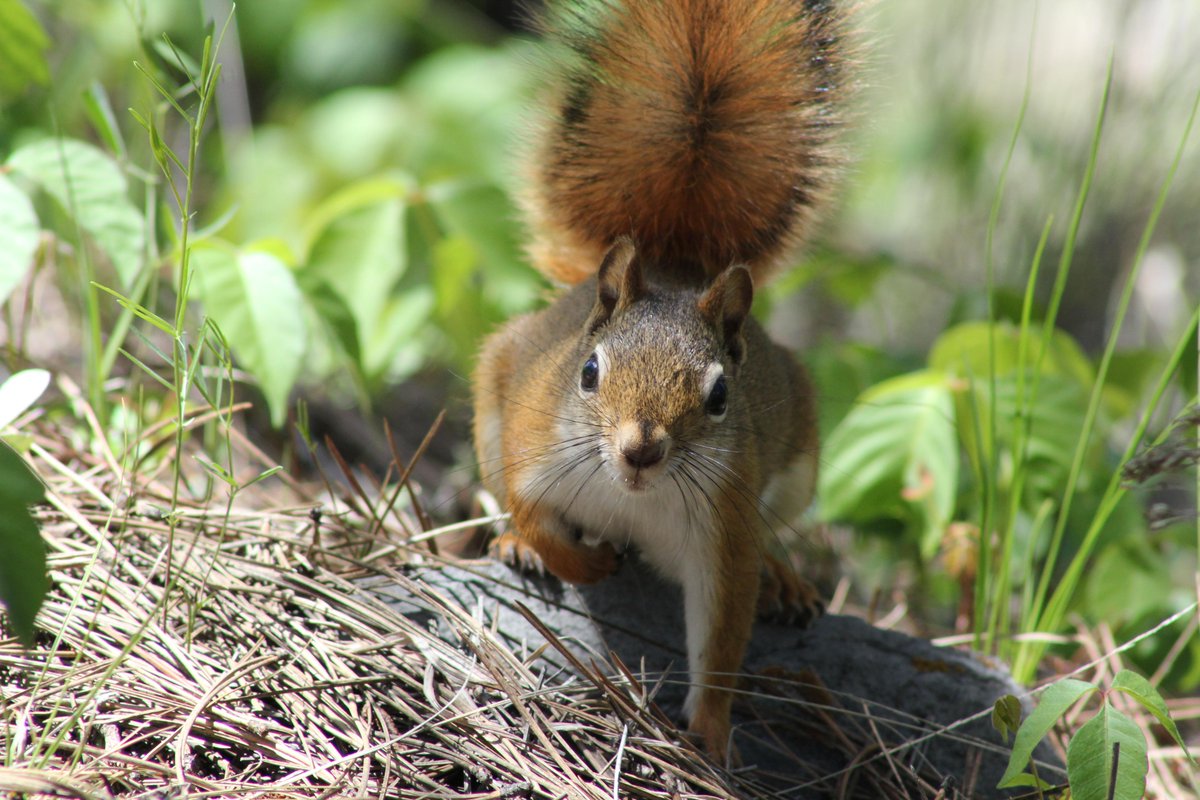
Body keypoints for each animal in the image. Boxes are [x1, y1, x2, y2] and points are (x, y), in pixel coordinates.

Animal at [472, 0, 846, 763]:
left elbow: (722, 633)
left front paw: (710, 730)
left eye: (720, 396)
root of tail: (677, 264)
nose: (641, 450)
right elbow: (537, 516)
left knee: (775, 533)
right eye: (588, 372)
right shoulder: (533, 446)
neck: (632, 502)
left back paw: (784, 577)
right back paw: (515, 545)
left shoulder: (722, 533)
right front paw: (574, 562)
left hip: (796, 464)